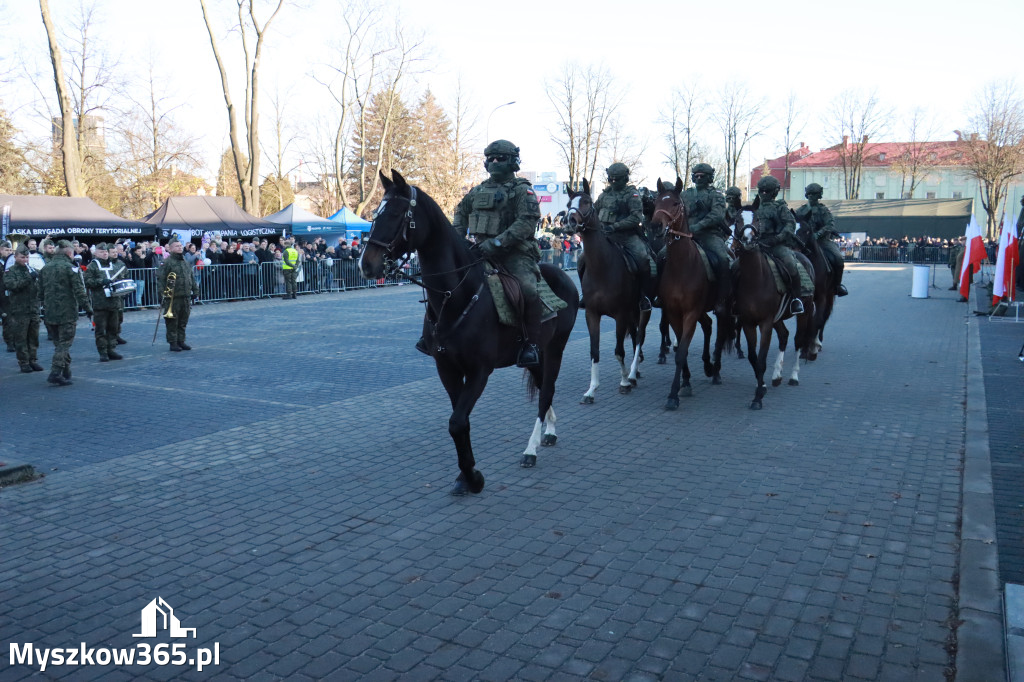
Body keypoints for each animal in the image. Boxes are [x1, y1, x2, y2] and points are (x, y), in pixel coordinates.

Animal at [565, 179, 651, 403]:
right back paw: (635, 372)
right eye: (569, 203)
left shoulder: (620, 314)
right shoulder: (592, 314)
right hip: (631, 312)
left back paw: (632, 374)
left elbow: (619, 351)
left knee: (640, 337)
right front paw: (591, 390)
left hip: (641, 310)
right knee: (635, 335)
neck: (602, 267)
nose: (569, 221)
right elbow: (594, 351)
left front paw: (624, 382)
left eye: (587, 201)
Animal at [651, 176, 733, 409]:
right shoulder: (673, 312)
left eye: (675, 203)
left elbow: (681, 352)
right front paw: (685, 382)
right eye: (656, 202)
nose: (656, 225)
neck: (681, 266)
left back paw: (716, 370)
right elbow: (681, 349)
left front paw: (673, 395)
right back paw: (707, 365)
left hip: (723, 307)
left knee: (720, 333)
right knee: (707, 326)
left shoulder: (690, 313)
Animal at [737, 222, 815, 409]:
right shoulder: (747, 323)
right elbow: (753, 358)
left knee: (798, 340)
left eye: (756, 229)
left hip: (805, 311)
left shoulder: (765, 323)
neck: (754, 280)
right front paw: (762, 386)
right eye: (738, 223)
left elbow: (761, 359)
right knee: (784, 335)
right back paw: (777, 375)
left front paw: (758, 398)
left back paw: (794, 376)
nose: (748, 240)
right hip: (777, 318)